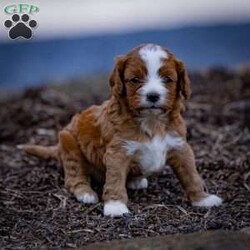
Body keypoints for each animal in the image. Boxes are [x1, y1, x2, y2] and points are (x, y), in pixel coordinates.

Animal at [20, 44, 223, 217]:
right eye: (135, 80)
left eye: (168, 79)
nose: (153, 96)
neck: (151, 120)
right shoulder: (117, 152)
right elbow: (115, 179)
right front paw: (115, 207)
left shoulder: (180, 146)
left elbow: (191, 174)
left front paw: (203, 199)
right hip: (69, 143)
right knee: (74, 177)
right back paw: (85, 193)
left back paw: (136, 180)